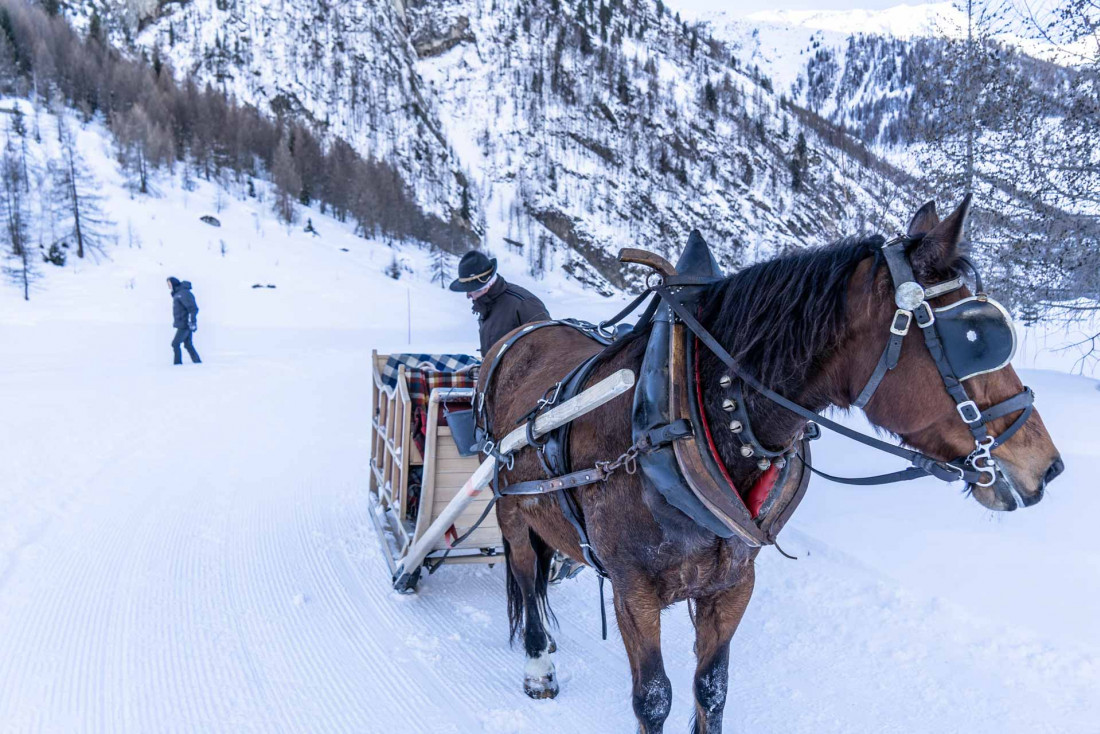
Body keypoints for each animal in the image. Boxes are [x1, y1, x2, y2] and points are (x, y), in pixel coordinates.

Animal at [481, 199, 1064, 734]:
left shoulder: (733, 583)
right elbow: (653, 698)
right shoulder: (633, 590)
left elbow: (711, 688)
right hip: (509, 509)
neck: (693, 412)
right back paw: (538, 662)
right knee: (526, 573)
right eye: (975, 339)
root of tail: (522, 335)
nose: (1047, 466)